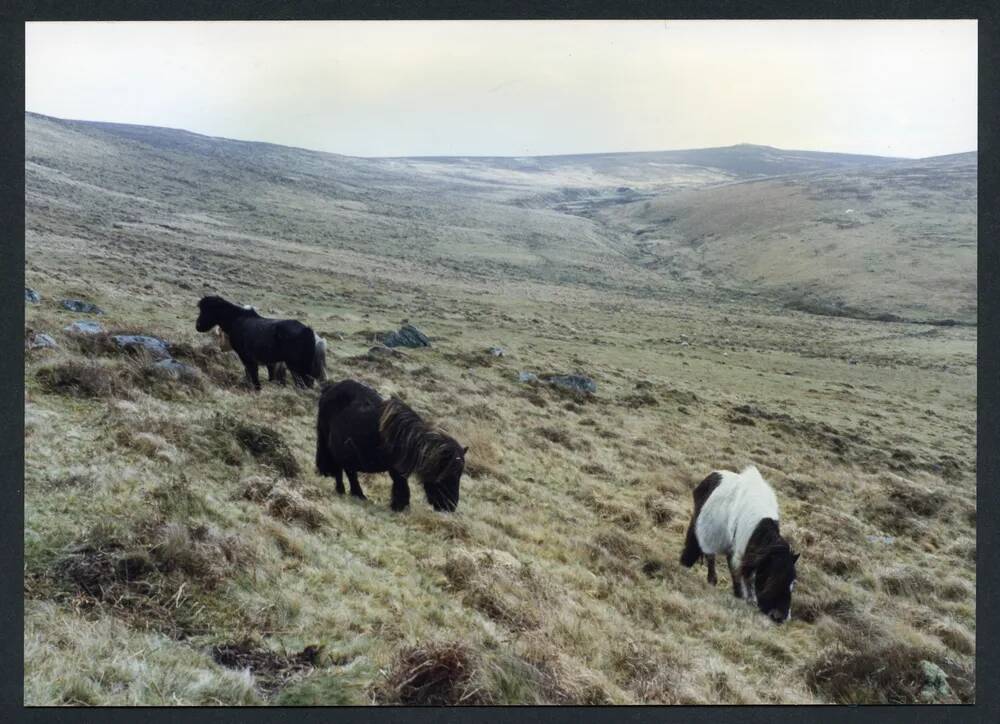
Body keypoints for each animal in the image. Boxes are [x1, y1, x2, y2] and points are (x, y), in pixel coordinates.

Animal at [191, 296, 324, 390]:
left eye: (208, 310)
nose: (198, 326)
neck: (235, 319)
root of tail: (308, 331)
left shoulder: (247, 357)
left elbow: (253, 375)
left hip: (296, 367)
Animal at [314, 378, 466, 510]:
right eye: (448, 473)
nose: (450, 507)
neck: (407, 439)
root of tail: (329, 389)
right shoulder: (396, 469)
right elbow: (401, 485)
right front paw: (401, 506)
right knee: (340, 469)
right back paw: (344, 491)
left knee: (348, 471)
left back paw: (357, 494)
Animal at [676, 466, 800, 624]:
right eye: (772, 576)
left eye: (793, 583)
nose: (780, 617)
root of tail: (712, 475)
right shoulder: (740, 551)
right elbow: (739, 572)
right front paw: (742, 597)